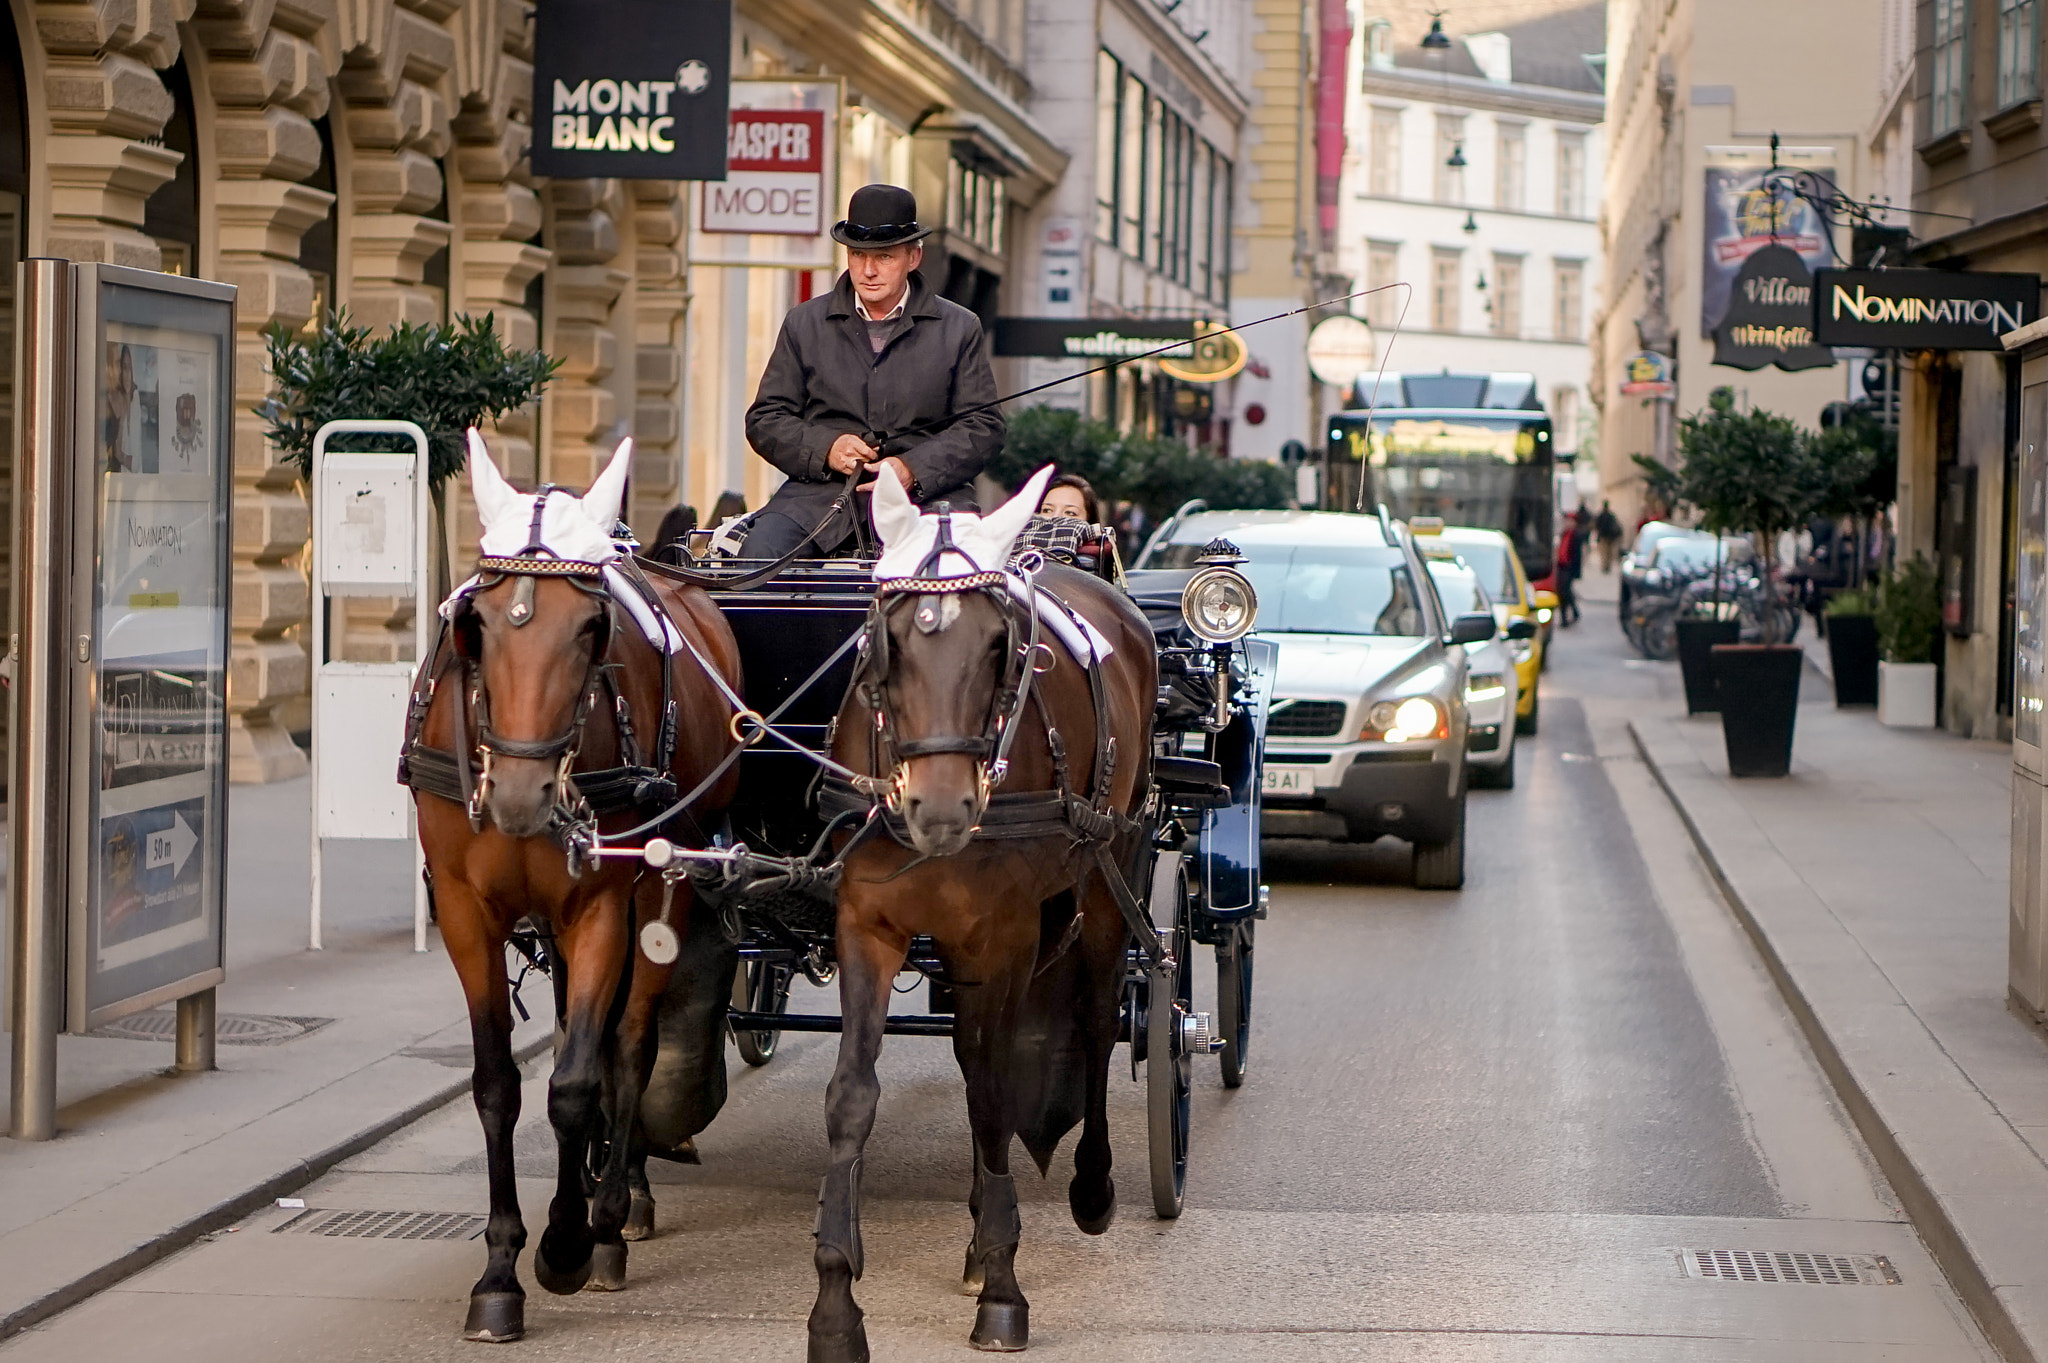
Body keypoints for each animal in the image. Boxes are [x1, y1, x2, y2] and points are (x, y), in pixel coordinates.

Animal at [409, 435, 745, 1334]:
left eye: (593, 627)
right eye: (478, 623)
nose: (522, 796)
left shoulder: (599, 906)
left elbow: (576, 1079)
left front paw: (565, 1244)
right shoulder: (466, 911)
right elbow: (498, 1083)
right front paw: (498, 1270)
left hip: (665, 887)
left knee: (628, 1042)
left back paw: (617, 1206)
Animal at [806, 470, 1163, 1358]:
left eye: (1001, 646)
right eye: (890, 642)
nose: (941, 807)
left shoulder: (1001, 935)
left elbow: (997, 1091)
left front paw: (1002, 1282)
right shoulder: (866, 926)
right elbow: (853, 1094)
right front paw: (835, 1302)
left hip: (1104, 875)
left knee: (1095, 1018)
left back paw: (1091, 1186)